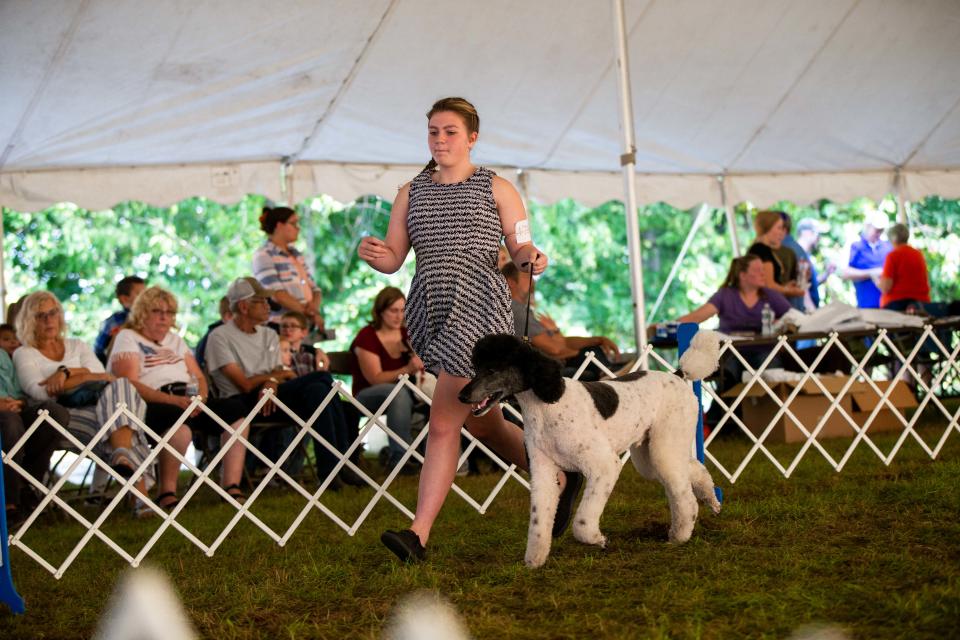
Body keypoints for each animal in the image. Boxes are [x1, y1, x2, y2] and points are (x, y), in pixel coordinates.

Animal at [458, 332, 720, 568]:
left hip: (664, 445)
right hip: (650, 454)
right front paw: (535, 559)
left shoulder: (604, 466)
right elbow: (538, 521)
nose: (462, 395)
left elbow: (582, 523)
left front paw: (597, 539)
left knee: (683, 493)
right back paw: (711, 499)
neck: (547, 404)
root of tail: (678, 375)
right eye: (476, 368)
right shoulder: (543, 473)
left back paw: (680, 535)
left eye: (492, 370)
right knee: (693, 470)